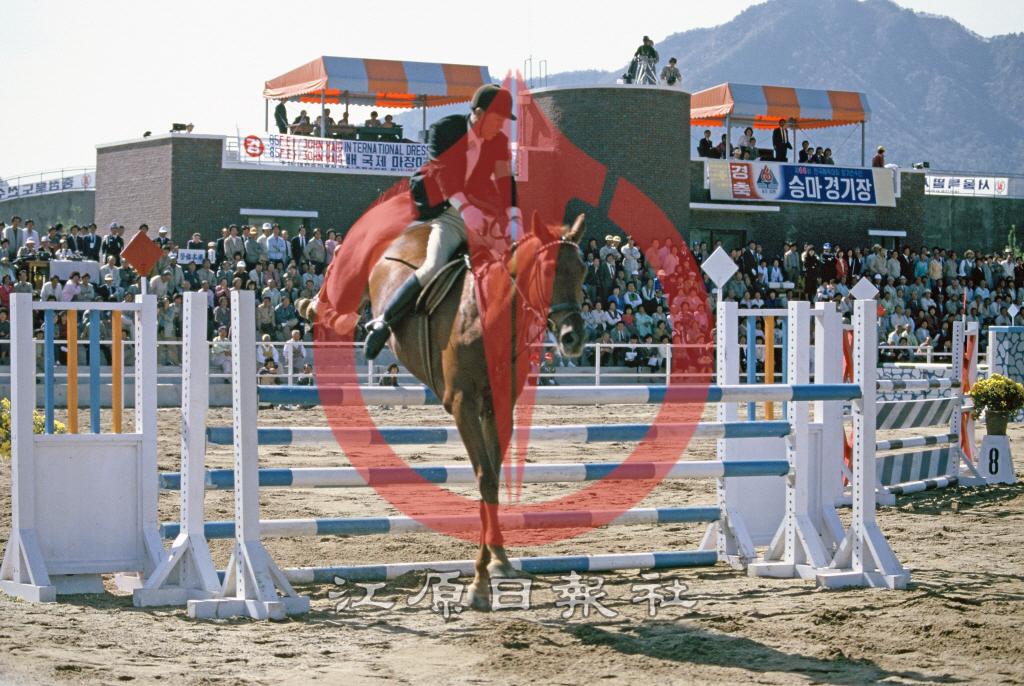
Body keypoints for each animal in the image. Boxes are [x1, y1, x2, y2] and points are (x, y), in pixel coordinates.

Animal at [364, 212, 587, 609]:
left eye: (584, 271)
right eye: (547, 271)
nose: (572, 338)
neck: (491, 317)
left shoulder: (498, 408)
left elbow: (493, 479)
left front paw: (498, 561)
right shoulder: (462, 404)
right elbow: (485, 479)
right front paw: (479, 583)